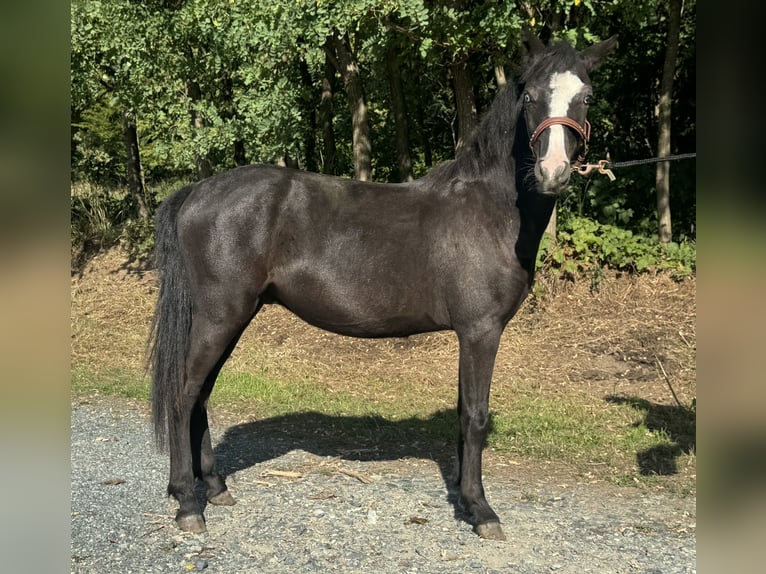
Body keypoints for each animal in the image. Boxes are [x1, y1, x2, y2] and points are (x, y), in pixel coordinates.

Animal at [148, 32, 618, 541]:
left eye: (587, 96)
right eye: (530, 97)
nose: (553, 172)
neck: (488, 210)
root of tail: (195, 192)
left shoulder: (470, 335)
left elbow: (462, 413)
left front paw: (464, 498)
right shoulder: (480, 331)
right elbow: (475, 415)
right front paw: (482, 510)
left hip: (233, 316)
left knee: (201, 393)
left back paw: (214, 487)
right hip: (220, 315)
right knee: (184, 394)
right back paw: (188, 502)